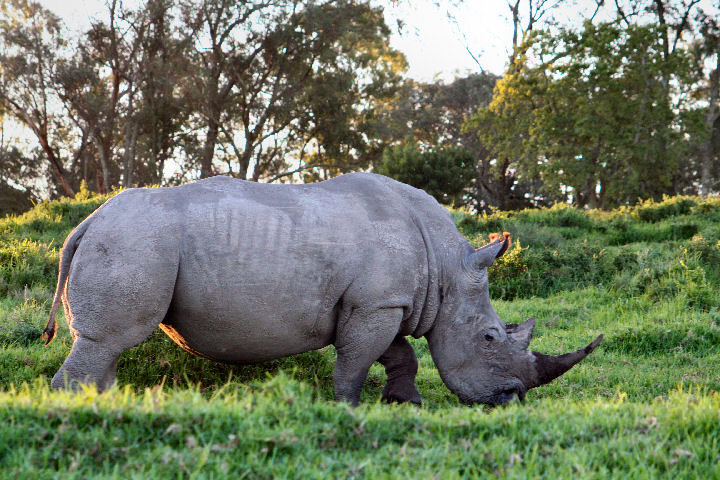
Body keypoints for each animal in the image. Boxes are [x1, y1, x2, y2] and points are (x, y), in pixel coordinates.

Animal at [43, 173, 601, 406]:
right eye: (490, 337)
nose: (512, 398)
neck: (446, 269)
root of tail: (87, 222)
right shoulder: (376, 303)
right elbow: (357, 359)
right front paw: (348, 407)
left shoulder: (380, 301)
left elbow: (399, 354)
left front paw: (406, 403)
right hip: (135, 241)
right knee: (109, 340)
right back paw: (79, 408)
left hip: (131, 239)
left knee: (106, 347)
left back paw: (103, 403)